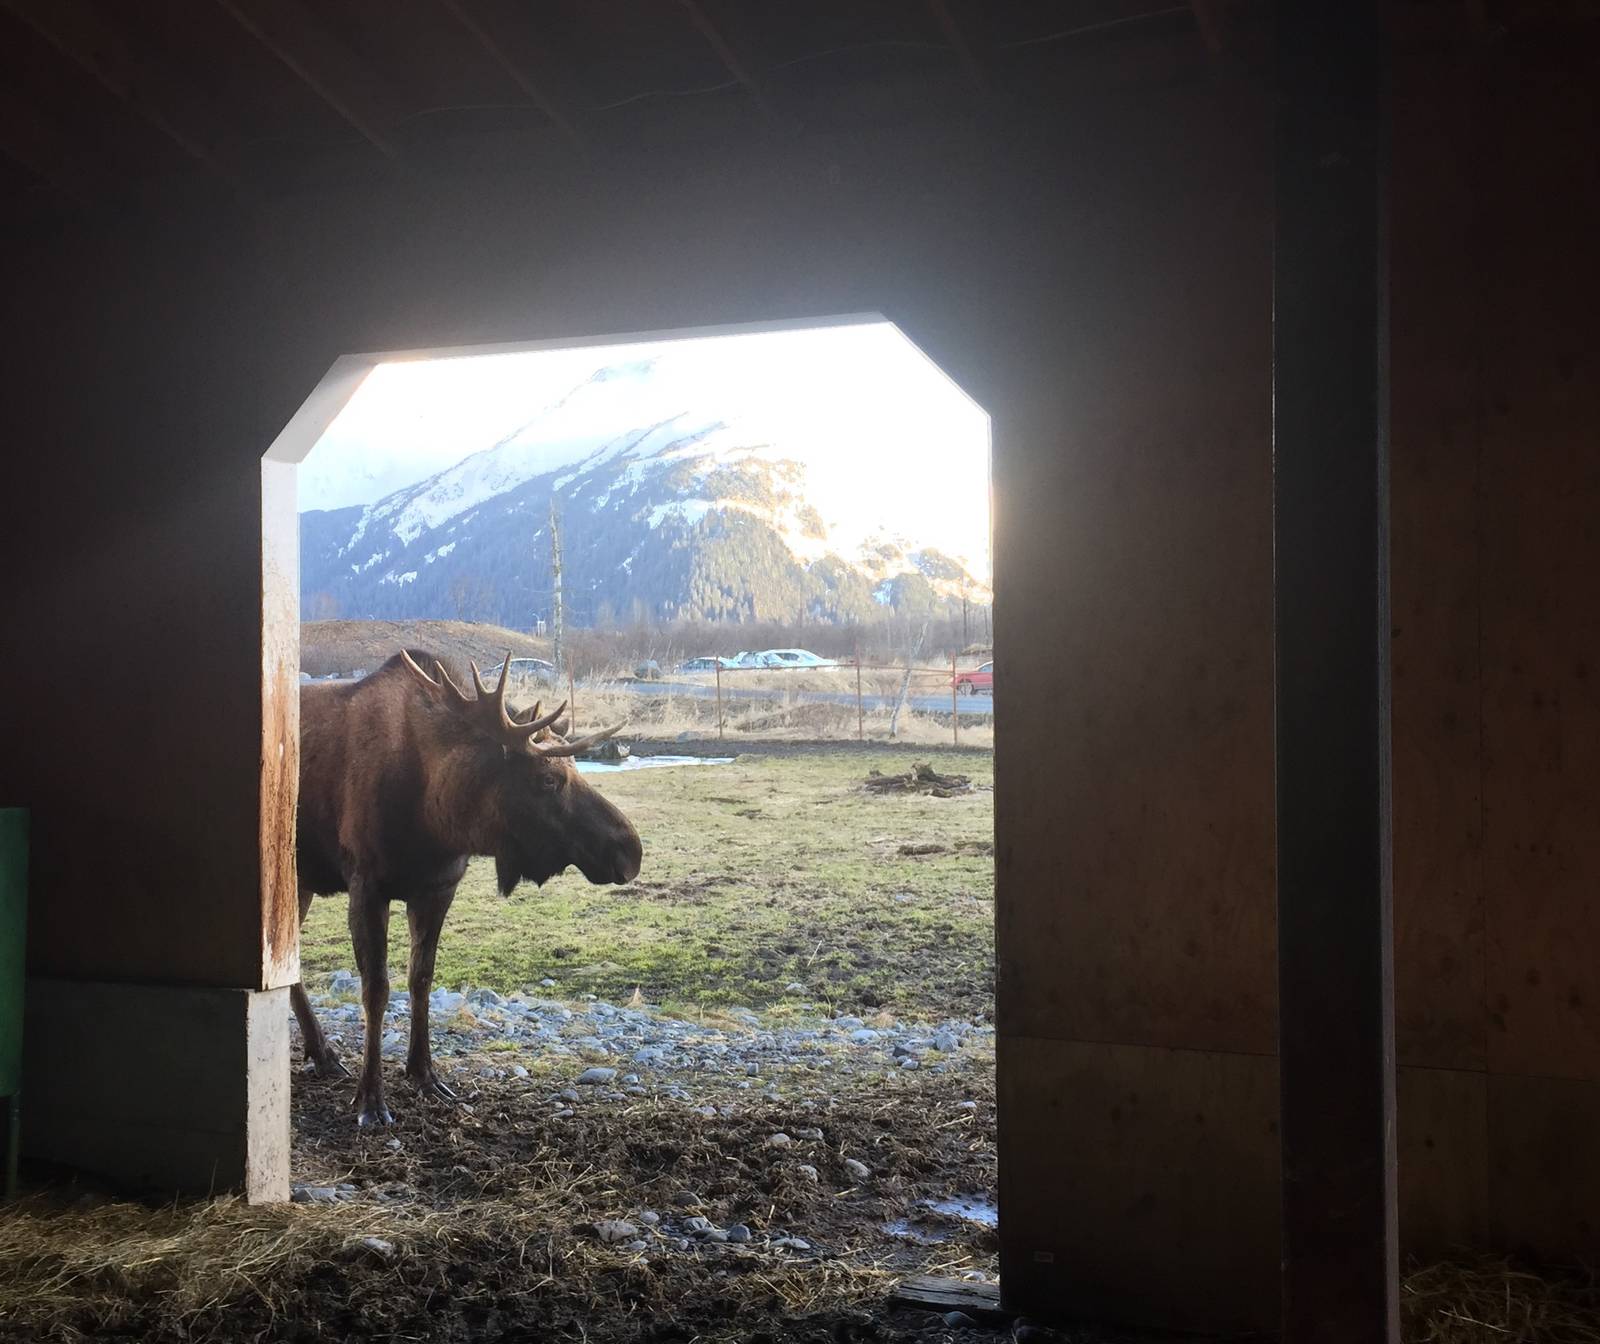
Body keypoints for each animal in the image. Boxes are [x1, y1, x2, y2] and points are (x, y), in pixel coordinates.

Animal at [291, 649, 643, 1126]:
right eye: (547, 779)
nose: (631, 850)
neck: (435, 815)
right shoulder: (366, 885)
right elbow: (375, 990)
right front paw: (371, 1099)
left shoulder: (439, 888)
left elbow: (421, 978)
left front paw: (425, 1074)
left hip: (300, 881)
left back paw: (323, 1053)